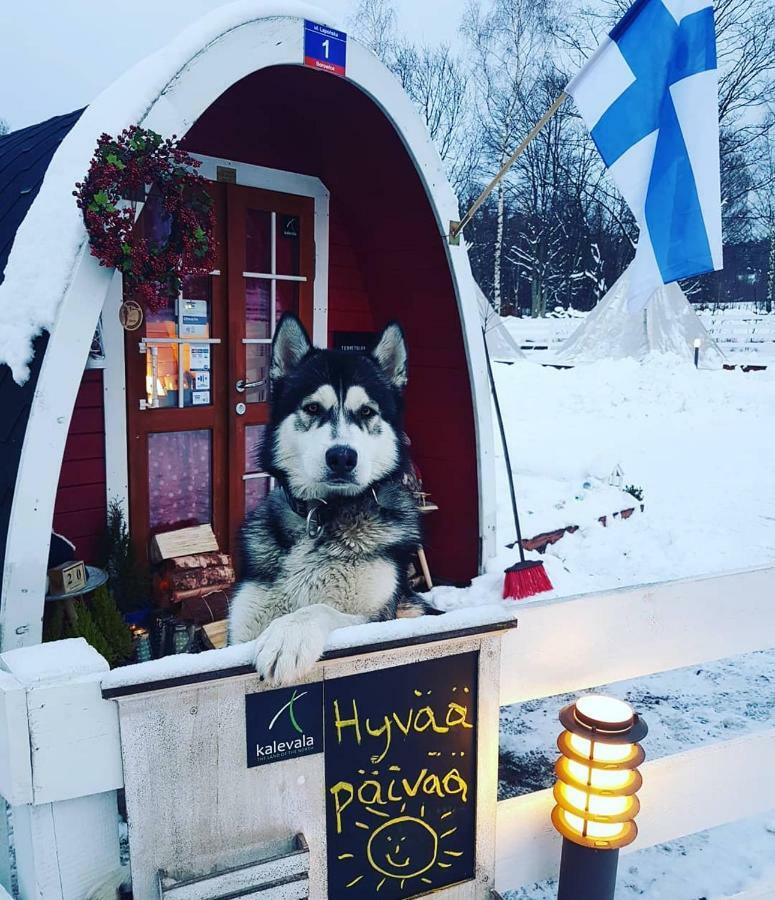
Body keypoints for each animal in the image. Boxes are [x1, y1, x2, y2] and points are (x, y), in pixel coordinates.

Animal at [229, 314, 436, 684]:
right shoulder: (242, 626)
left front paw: (288, 635)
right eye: (313, 408)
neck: (322, 516)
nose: (342, 457)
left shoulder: (378, 616)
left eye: (367, 412)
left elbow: (320, 608)